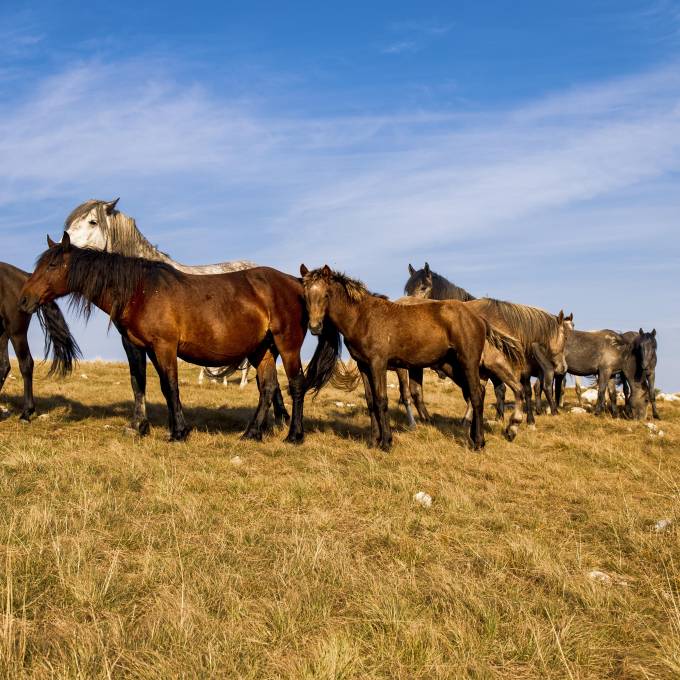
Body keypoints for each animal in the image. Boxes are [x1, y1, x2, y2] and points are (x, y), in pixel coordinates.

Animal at [20, 234, 340, 442]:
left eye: (52, 266)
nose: (24, 299)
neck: (141, 291)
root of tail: (296, 283)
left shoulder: (164, 347)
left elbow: (169, 386)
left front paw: (178, 432)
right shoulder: (141, 347)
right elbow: (143, 384)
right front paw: (142, 427)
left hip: (287, 345)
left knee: (295, 384)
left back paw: (294, 435)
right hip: (262, 350)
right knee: (268, 388)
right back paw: (251, 433)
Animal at [63, 198, 286, 429]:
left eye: (92, 222)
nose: (63, 244)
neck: (141, 282)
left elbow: (146, 382)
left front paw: (141, 425)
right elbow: (141, 382)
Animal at [300, 265, 523, 451]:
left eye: (326, 294)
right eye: (305, 295)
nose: (315, 327)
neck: (362, 317)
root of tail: (478, 318)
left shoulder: (378, 363)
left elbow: (381, 400)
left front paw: (386, 442)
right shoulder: (364, 365)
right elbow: (371, 401)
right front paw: (373, 441)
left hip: (468, 361)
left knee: (477, 395)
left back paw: (479, 441)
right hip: (453, 365)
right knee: (478, 393)